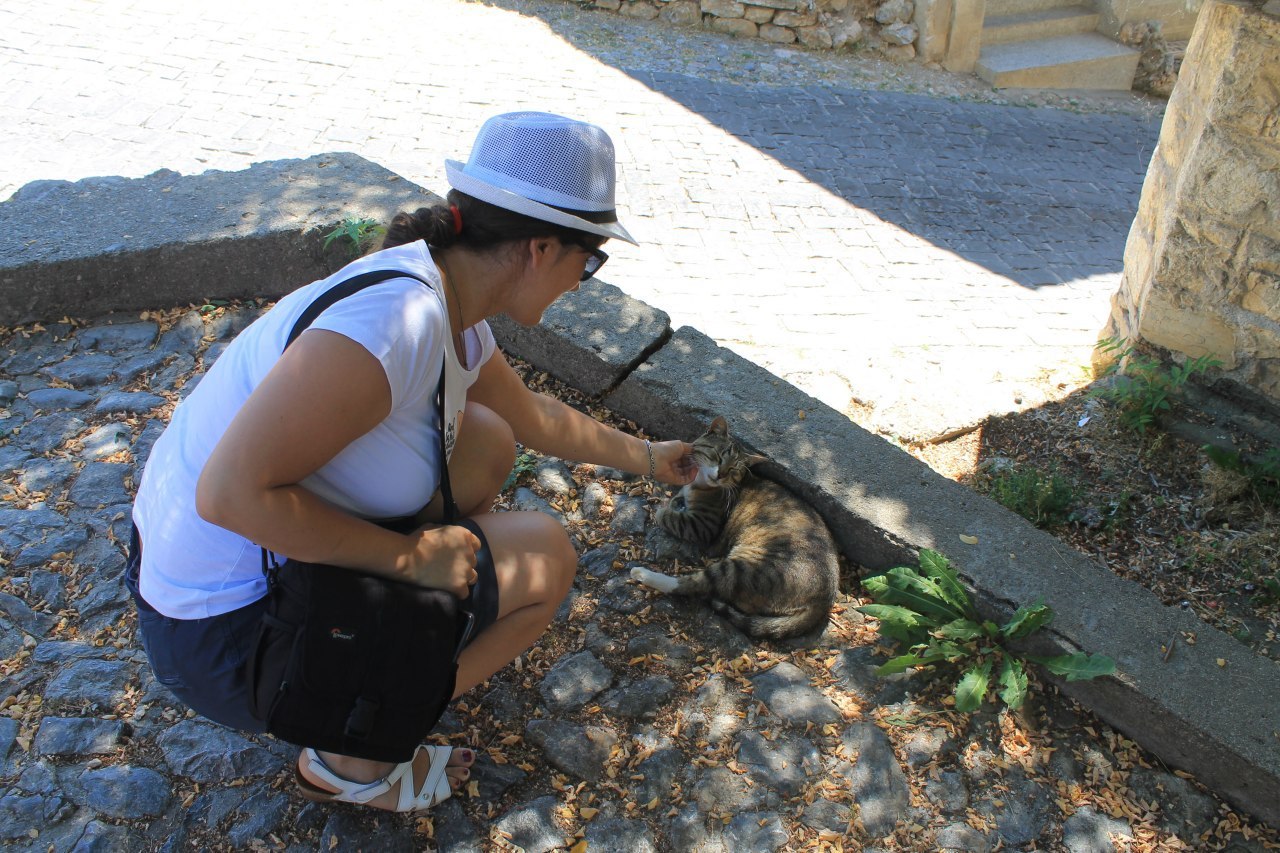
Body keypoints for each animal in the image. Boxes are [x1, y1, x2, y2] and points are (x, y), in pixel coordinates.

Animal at [629, 412, 839, 637]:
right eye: (719, 456)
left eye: (733, 469)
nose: (720, 474)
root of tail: (824, 600)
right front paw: (675, 500)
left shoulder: (703, 525)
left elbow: (669, 517)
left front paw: (662, 508)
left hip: (743, 569)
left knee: (693, 585)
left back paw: (643, 574)